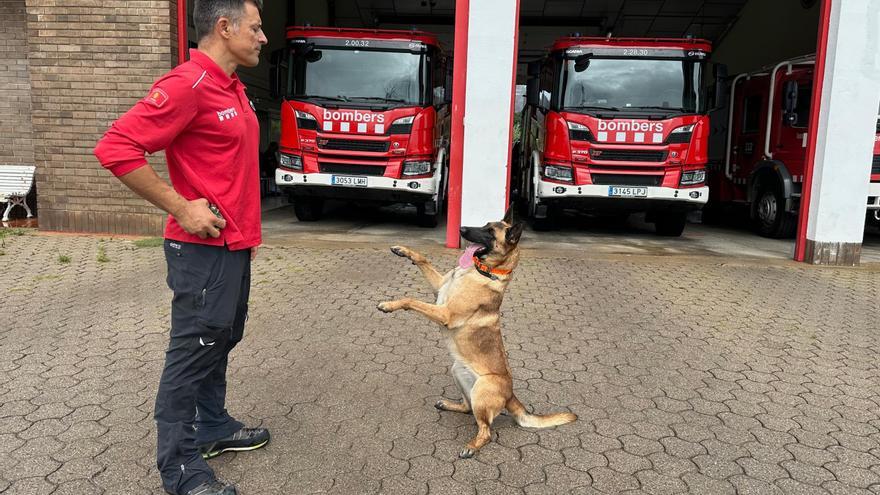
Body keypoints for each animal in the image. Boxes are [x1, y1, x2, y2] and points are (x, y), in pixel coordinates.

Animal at [376, 207, 576, 460]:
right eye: (483, 224)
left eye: (490, 232)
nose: (461, 228)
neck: (484, 272)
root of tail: (511, 395)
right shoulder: (440, 287)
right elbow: (423, 258)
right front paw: (403, 250)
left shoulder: (445, 313)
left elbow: (411, 300)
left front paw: (388, 305)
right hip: (458, 372)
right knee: (466, 407)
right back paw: (450, 405)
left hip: (482, 389)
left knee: (486, 430)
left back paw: (471, 446)